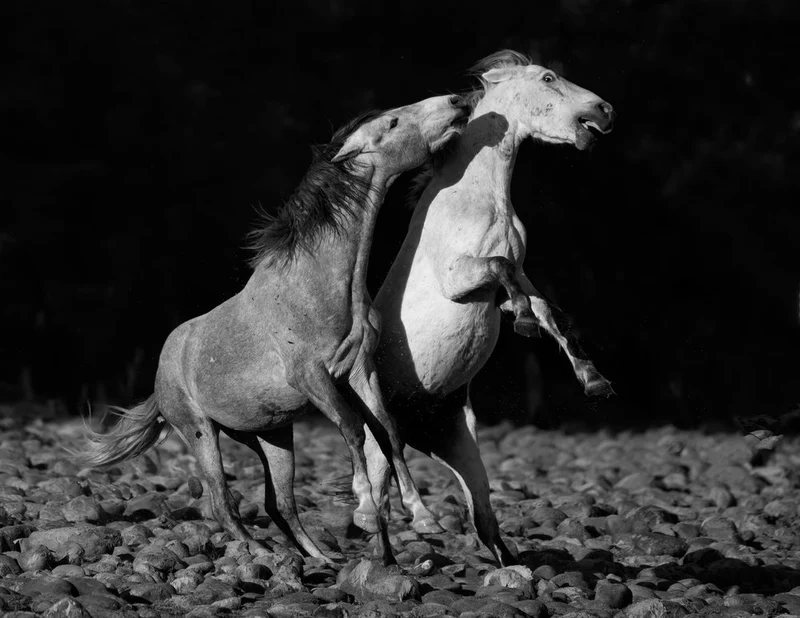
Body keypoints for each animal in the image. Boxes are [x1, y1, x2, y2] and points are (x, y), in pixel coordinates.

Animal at [77, 94, 471, 566]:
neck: (318, 286)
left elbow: (388, 434)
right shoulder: (312, 378)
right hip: (200, 431)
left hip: (272, 437)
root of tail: (159, 377)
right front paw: (363, 509)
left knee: (279, 503)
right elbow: (352, 429)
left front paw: (421, 517)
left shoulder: (360, 371)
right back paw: (258, 551)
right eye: (394, 122)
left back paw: (321, 559)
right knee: (222, 502)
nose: (457, 102)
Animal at [362, 50, 616, 566]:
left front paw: (594, 380)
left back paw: (512, 567)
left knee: (483, 519)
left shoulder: (519, 275)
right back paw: (388, 563)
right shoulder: (460, 279)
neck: (479, 197)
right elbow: (501, 271)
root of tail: (419, 425)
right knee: (378, 502)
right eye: (548, 77)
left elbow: (551, 312)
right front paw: (524, 324)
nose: (605, 112)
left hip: (462, 448)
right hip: (381, 446)